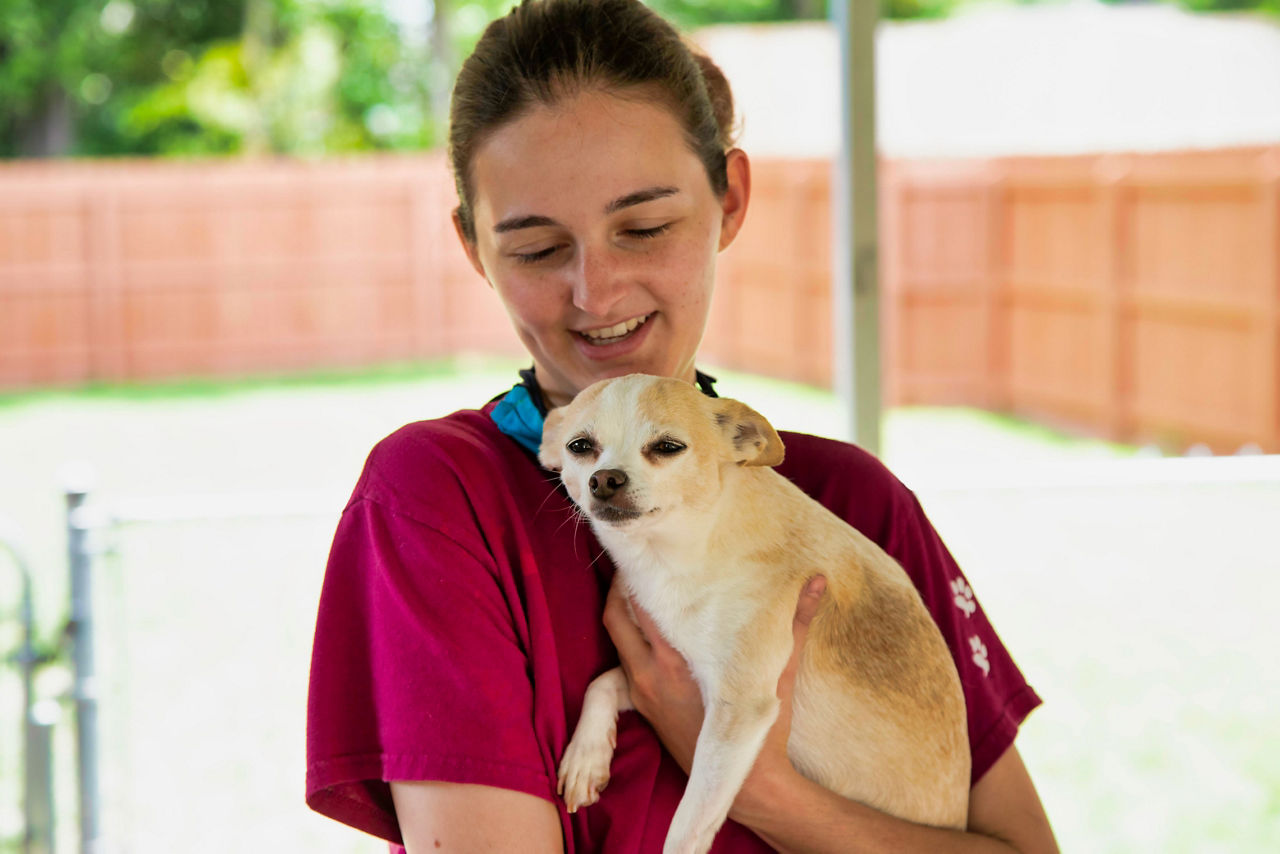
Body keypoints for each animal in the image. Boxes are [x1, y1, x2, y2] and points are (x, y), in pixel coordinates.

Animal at [540, 373, 967, 854]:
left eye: (668, 447)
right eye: (579, 446)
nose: (604, 478)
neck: (676, 555)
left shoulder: (737, 709)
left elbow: (687, 825)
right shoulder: (669, 672)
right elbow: (604, 682)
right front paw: (587, 756)